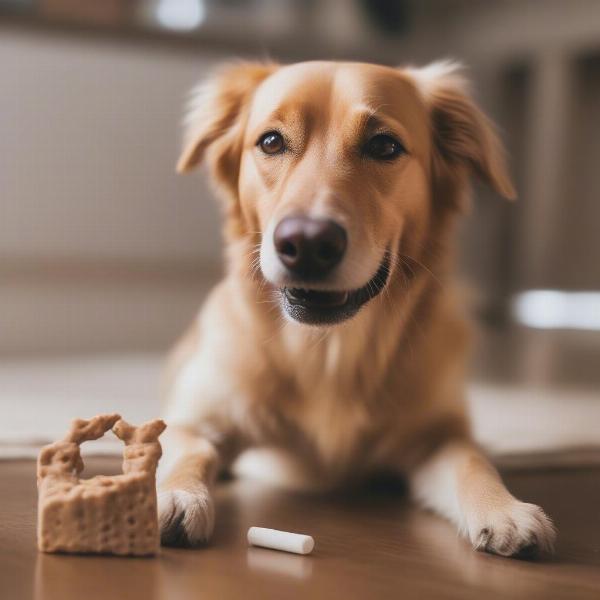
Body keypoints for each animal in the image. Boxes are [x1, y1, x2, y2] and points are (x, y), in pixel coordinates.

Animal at [157, 58, 556, 556]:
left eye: (383, 145)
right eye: (271, 141)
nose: (307, 244)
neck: (329, 351)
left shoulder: (436, 436)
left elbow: (472, 460)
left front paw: (506, 510)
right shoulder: (195, 418)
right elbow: (187, 448)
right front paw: (175, 496)